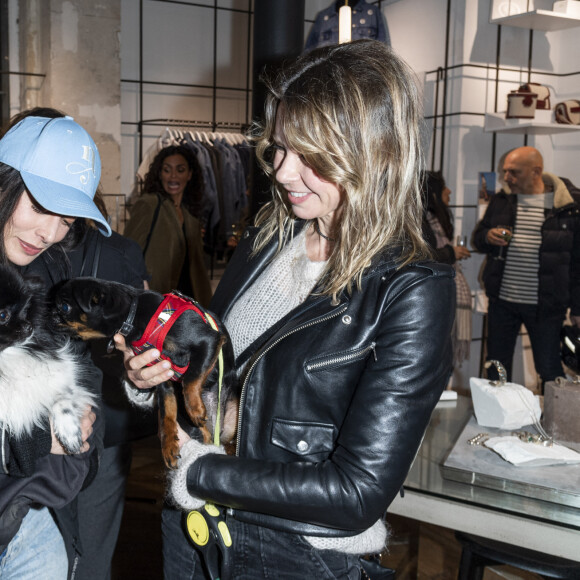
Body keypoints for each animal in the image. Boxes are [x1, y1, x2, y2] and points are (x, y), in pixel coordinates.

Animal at [52, 278, 238, 468]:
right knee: (209, 436)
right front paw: (169, 445)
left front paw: (194, 408)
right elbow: (166, 414)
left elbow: (190, 380)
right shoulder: (163, 376)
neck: (132, 316)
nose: (49, 315)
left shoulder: (208, 341)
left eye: (64, 307)